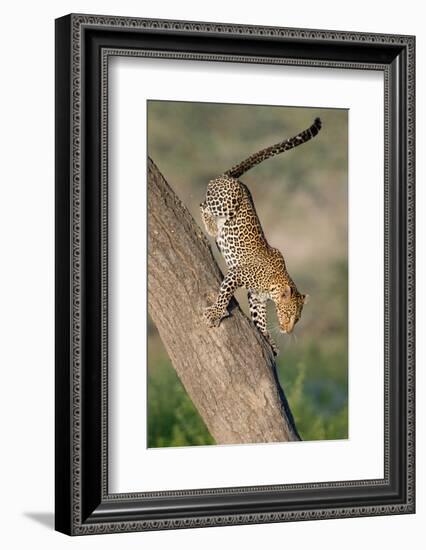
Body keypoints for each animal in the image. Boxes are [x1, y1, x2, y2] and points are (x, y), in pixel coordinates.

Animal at [201, 118, 322, 356]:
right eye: (288, 314)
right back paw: (210, 225)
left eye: (297, 319)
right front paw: (216, 313)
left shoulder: (256, 297)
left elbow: (260, 319)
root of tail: (232, 179)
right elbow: (224, 294)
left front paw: (268, 339)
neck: (274, 284)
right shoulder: (236, 274)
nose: (287, 330)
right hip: (227, 201)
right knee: (204, 201)